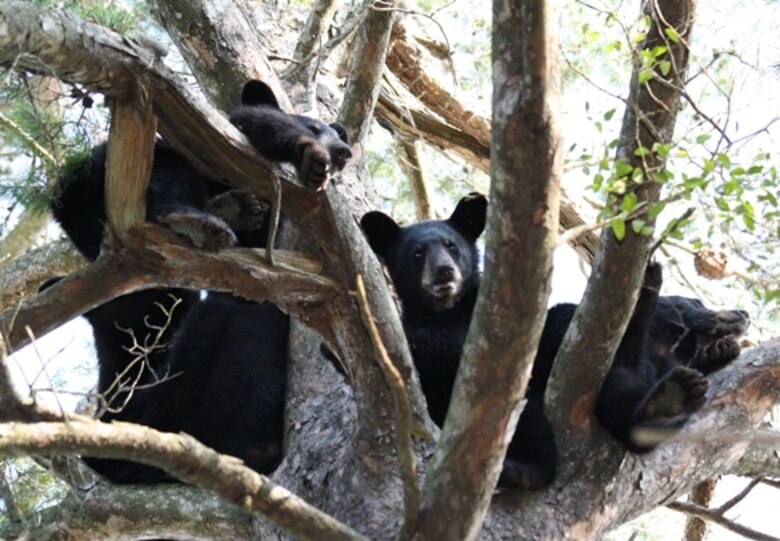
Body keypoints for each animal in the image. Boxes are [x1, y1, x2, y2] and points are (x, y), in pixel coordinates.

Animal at [49, 79, 353, 483]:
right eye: (316, 126)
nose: (343, 151)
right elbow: (246, 121)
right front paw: (307, 155)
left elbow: (259, 255)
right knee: (166, 174)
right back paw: (194, 218)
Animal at [360, 193, 558, 490]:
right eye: (417, 253)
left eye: (451, 246)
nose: (444, 272)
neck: (446, 309)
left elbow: (456, 343)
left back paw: (524, 468)